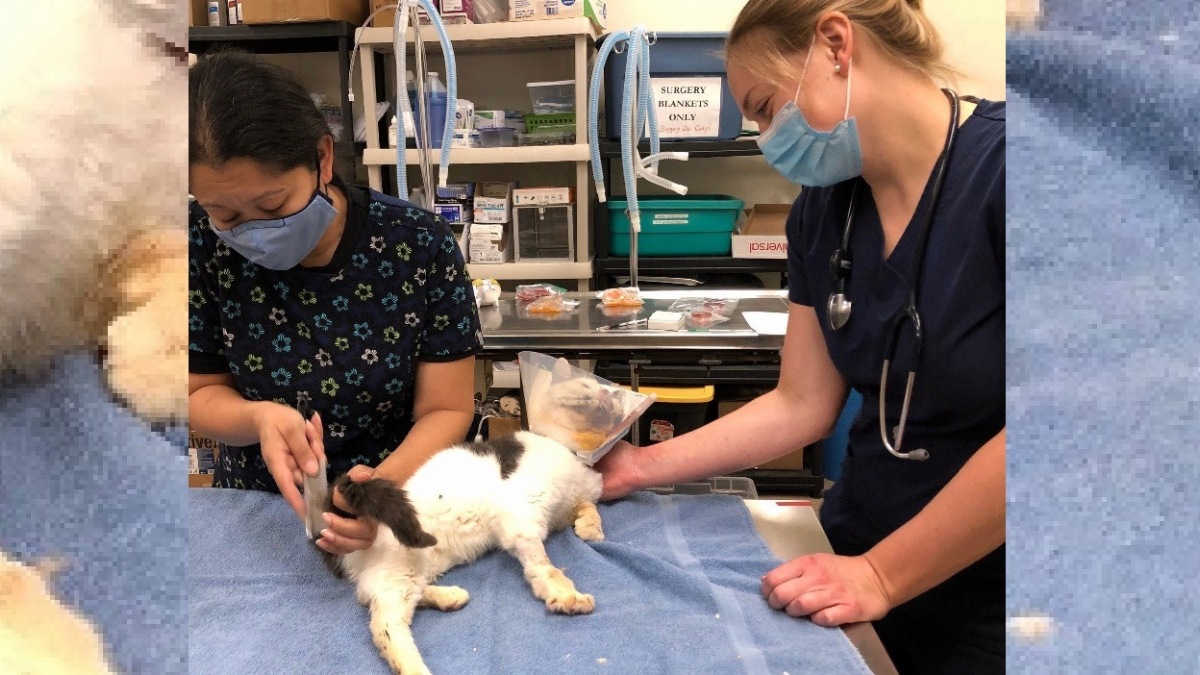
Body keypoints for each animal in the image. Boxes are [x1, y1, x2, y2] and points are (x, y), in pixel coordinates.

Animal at [314, 429, 604, 672]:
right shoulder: (521, 511)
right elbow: (544, 564)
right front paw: (565, 594)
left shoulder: (562, 510)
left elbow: (586, 506)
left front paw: (591, 527)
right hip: (402, 563)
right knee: (384, 624)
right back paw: (417, 668)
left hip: (410, 568)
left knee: (375, 597)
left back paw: (450, 596)